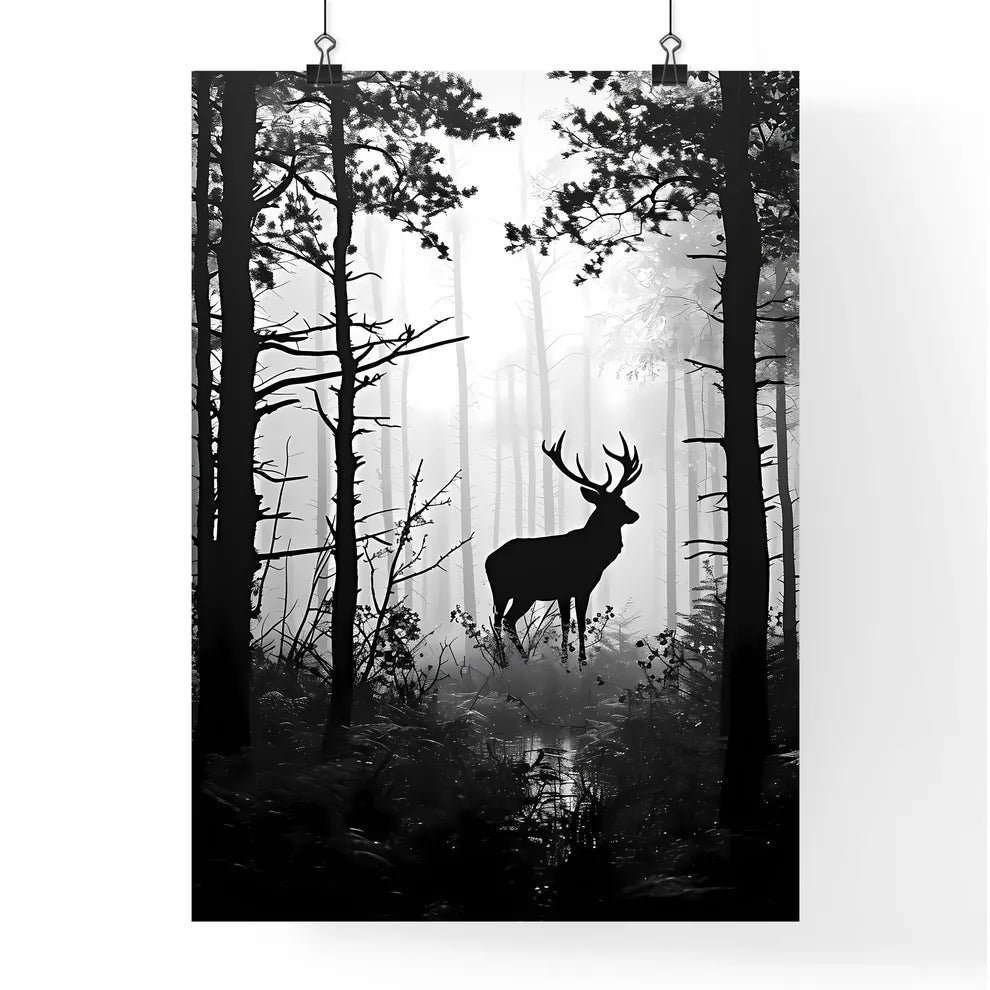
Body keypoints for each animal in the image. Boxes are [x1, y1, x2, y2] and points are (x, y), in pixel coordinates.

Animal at [485, 431, 642, 664]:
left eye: (622, 500)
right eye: (611, 504)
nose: (635, 514)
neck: (595, 555)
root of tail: (488, 560)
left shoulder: (577, 589)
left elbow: (576, 624)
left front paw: (575, 662)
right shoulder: (570, 588)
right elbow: (570, 624)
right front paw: (572, 663)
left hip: (525, 594)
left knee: (508, 621)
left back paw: (523, 660)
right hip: (501, 589)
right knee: (498, 622)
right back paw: (505, 662)